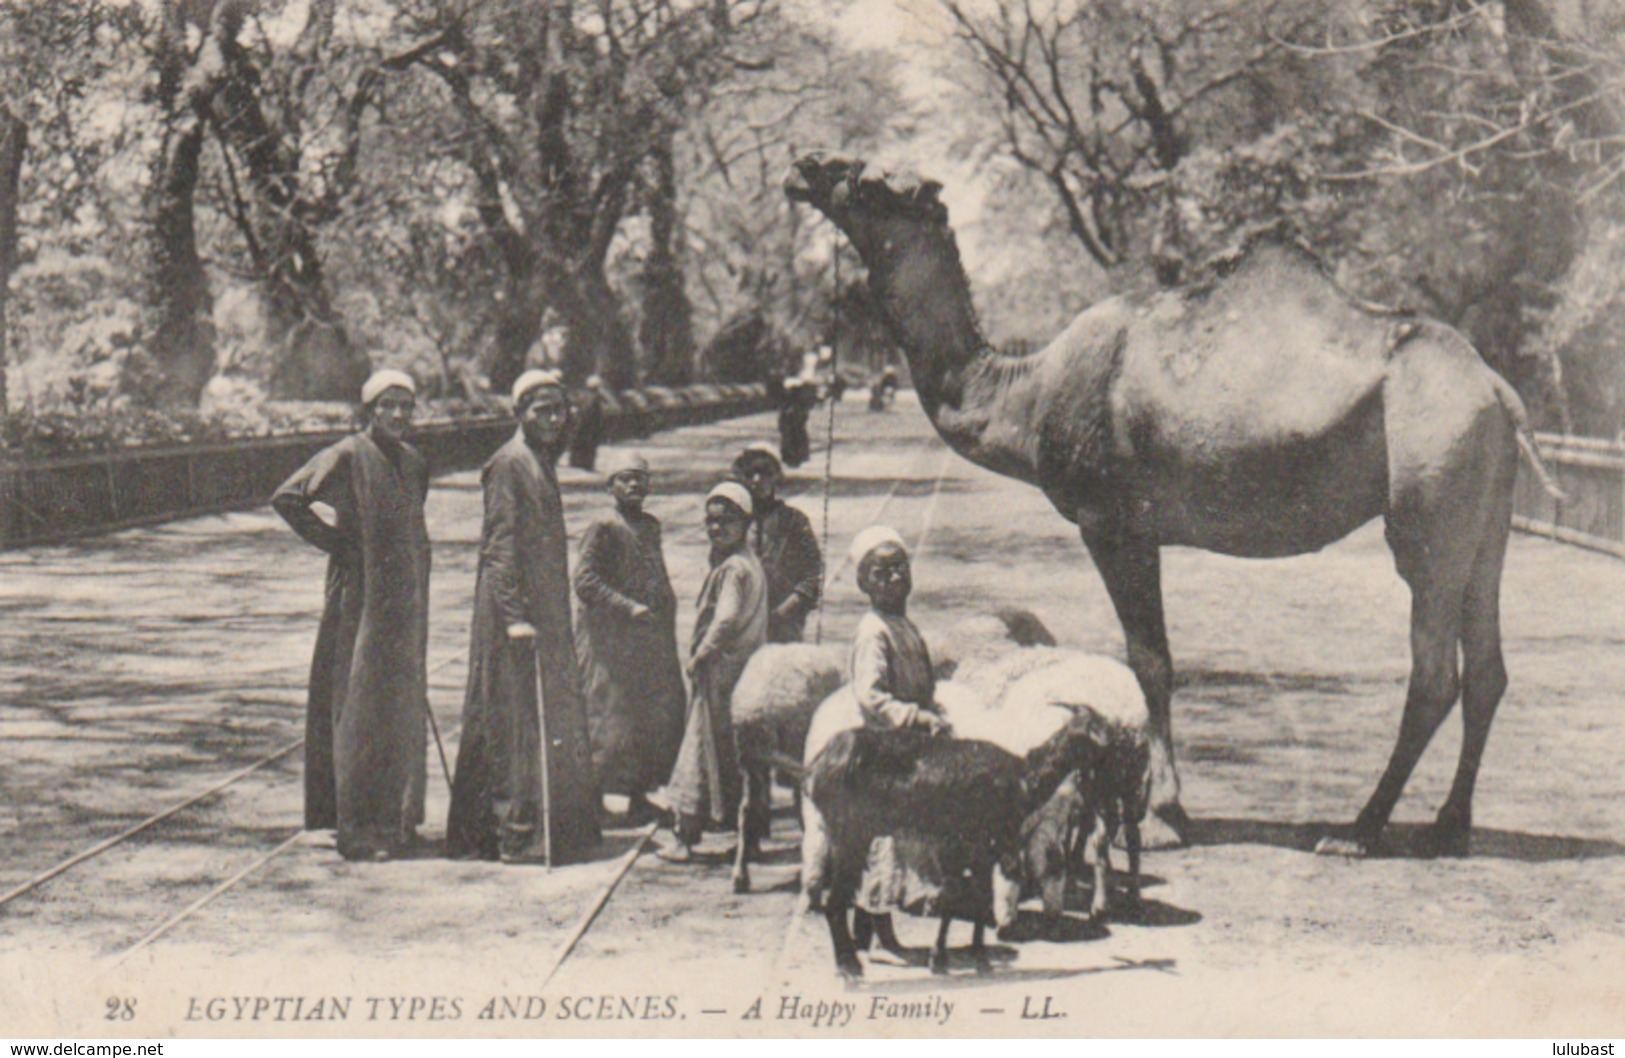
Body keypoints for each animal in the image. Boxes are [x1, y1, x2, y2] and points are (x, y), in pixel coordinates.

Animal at [786, 151, 1560, 858]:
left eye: (868, 181)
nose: (804, 167)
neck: (1025, 395)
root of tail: (1499, 391)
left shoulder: (1113, 522)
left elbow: (1149, 659)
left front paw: (1163, 815)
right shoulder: (1140, 528)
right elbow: (1151, 657)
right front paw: (1166, 806)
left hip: (1431, 490)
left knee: (1434, 670)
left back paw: (1358, 830)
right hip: (1483, 512)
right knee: (1486, 666)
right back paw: (1447, 824)